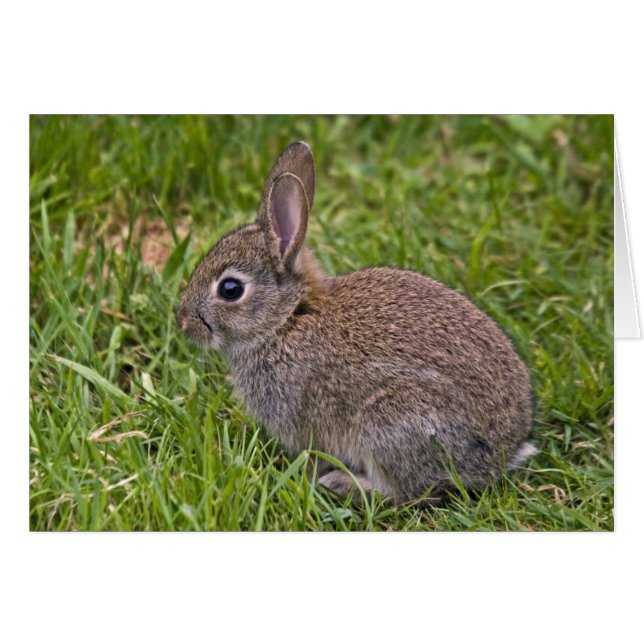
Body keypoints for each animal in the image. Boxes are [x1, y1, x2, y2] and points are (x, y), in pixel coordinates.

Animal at [176, 141, 536, 504]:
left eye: (230, 289)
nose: (184, 323)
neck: (285, 319)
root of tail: (498, 455)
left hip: (392, 422)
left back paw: (343, 483)